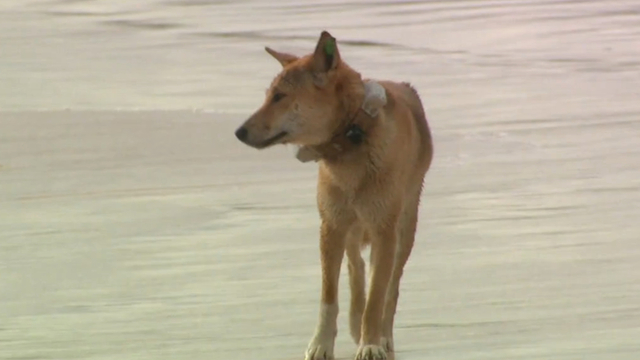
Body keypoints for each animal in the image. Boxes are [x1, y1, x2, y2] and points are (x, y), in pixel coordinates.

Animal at [232, 31, 432, 360]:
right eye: (268, 95)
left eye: (279, 97)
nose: (238, 132)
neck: (351, 138)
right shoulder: (331, 226)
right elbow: (329, 295)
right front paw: (321, 344)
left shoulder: (384, 229)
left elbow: (378, 296)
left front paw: (370, 343)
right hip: (349, 224)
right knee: (356, 267)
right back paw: (355, 321)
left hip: (405, 226)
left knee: (390, 286)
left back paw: (383, 336)